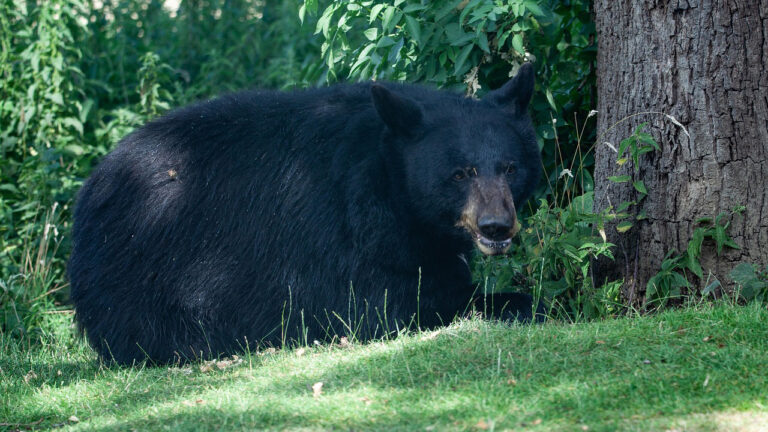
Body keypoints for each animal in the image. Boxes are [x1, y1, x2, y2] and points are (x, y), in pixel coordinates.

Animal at [68, 63, 543, 365]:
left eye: (510, 167)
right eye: (460, 173)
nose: (496, 226)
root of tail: (92, 187)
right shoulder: (342, 232)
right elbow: (389, 304)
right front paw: (521, 302)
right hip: (147, 266)